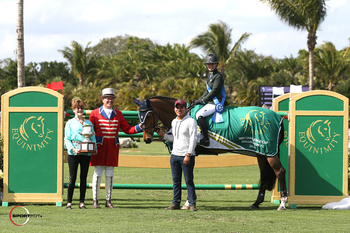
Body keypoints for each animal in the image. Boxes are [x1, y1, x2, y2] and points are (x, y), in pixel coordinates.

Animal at [134, 95, 288, 210]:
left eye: (148, 115)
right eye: (139, 115)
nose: (147, 138)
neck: (183, 116)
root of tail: (278, 118)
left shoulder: (190, 154)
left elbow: (188, 177)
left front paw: (188, 203)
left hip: (270, 153)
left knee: (280, 172)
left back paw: (282, 203)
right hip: (262, 153)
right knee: (264, 174)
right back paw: (256, 203)